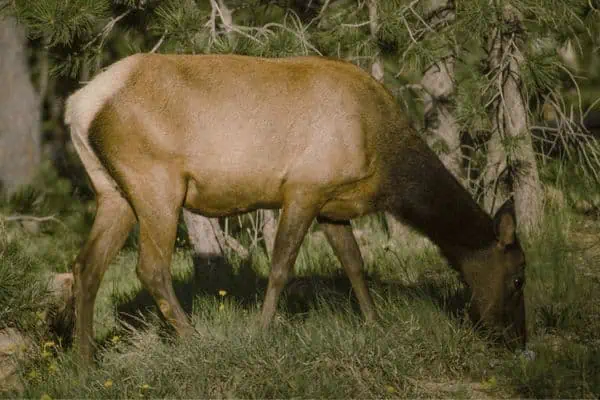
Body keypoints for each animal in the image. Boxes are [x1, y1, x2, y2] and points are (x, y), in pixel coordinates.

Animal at [63, 51, 528, 360]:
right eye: (519, 277)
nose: (517, 340)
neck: (383, 160)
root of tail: (77, 105)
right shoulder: (304, 186)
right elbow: (281, 266)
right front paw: (261, 331)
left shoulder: (332, 203)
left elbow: (354, 263)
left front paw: (375, 322)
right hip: (156, 181)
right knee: (150, 267)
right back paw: (194, 339)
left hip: (113, 190)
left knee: (87, 266)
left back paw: (84, 361)